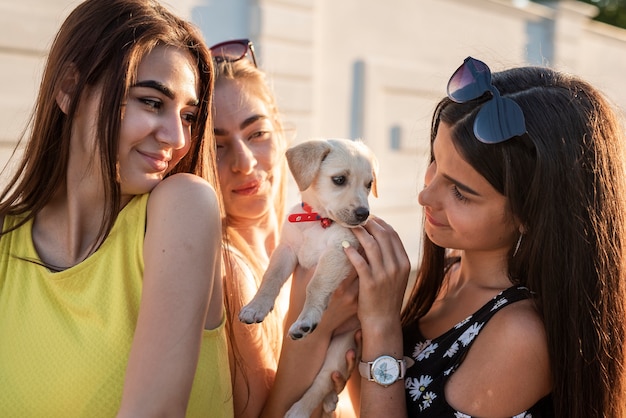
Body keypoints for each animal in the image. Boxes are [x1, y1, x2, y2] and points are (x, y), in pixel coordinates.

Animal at [238, 138, 376, 418]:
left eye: (369, 184)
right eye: (339, 180)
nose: (363, 214)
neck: (318, 221)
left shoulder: (340, 250)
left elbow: (316, 285)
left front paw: (307, 318)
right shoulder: (287, 249)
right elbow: (270, 278)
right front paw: (256, 307)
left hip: (341, 346)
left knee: (322, 380)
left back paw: (300, 409)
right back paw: (329, 402)